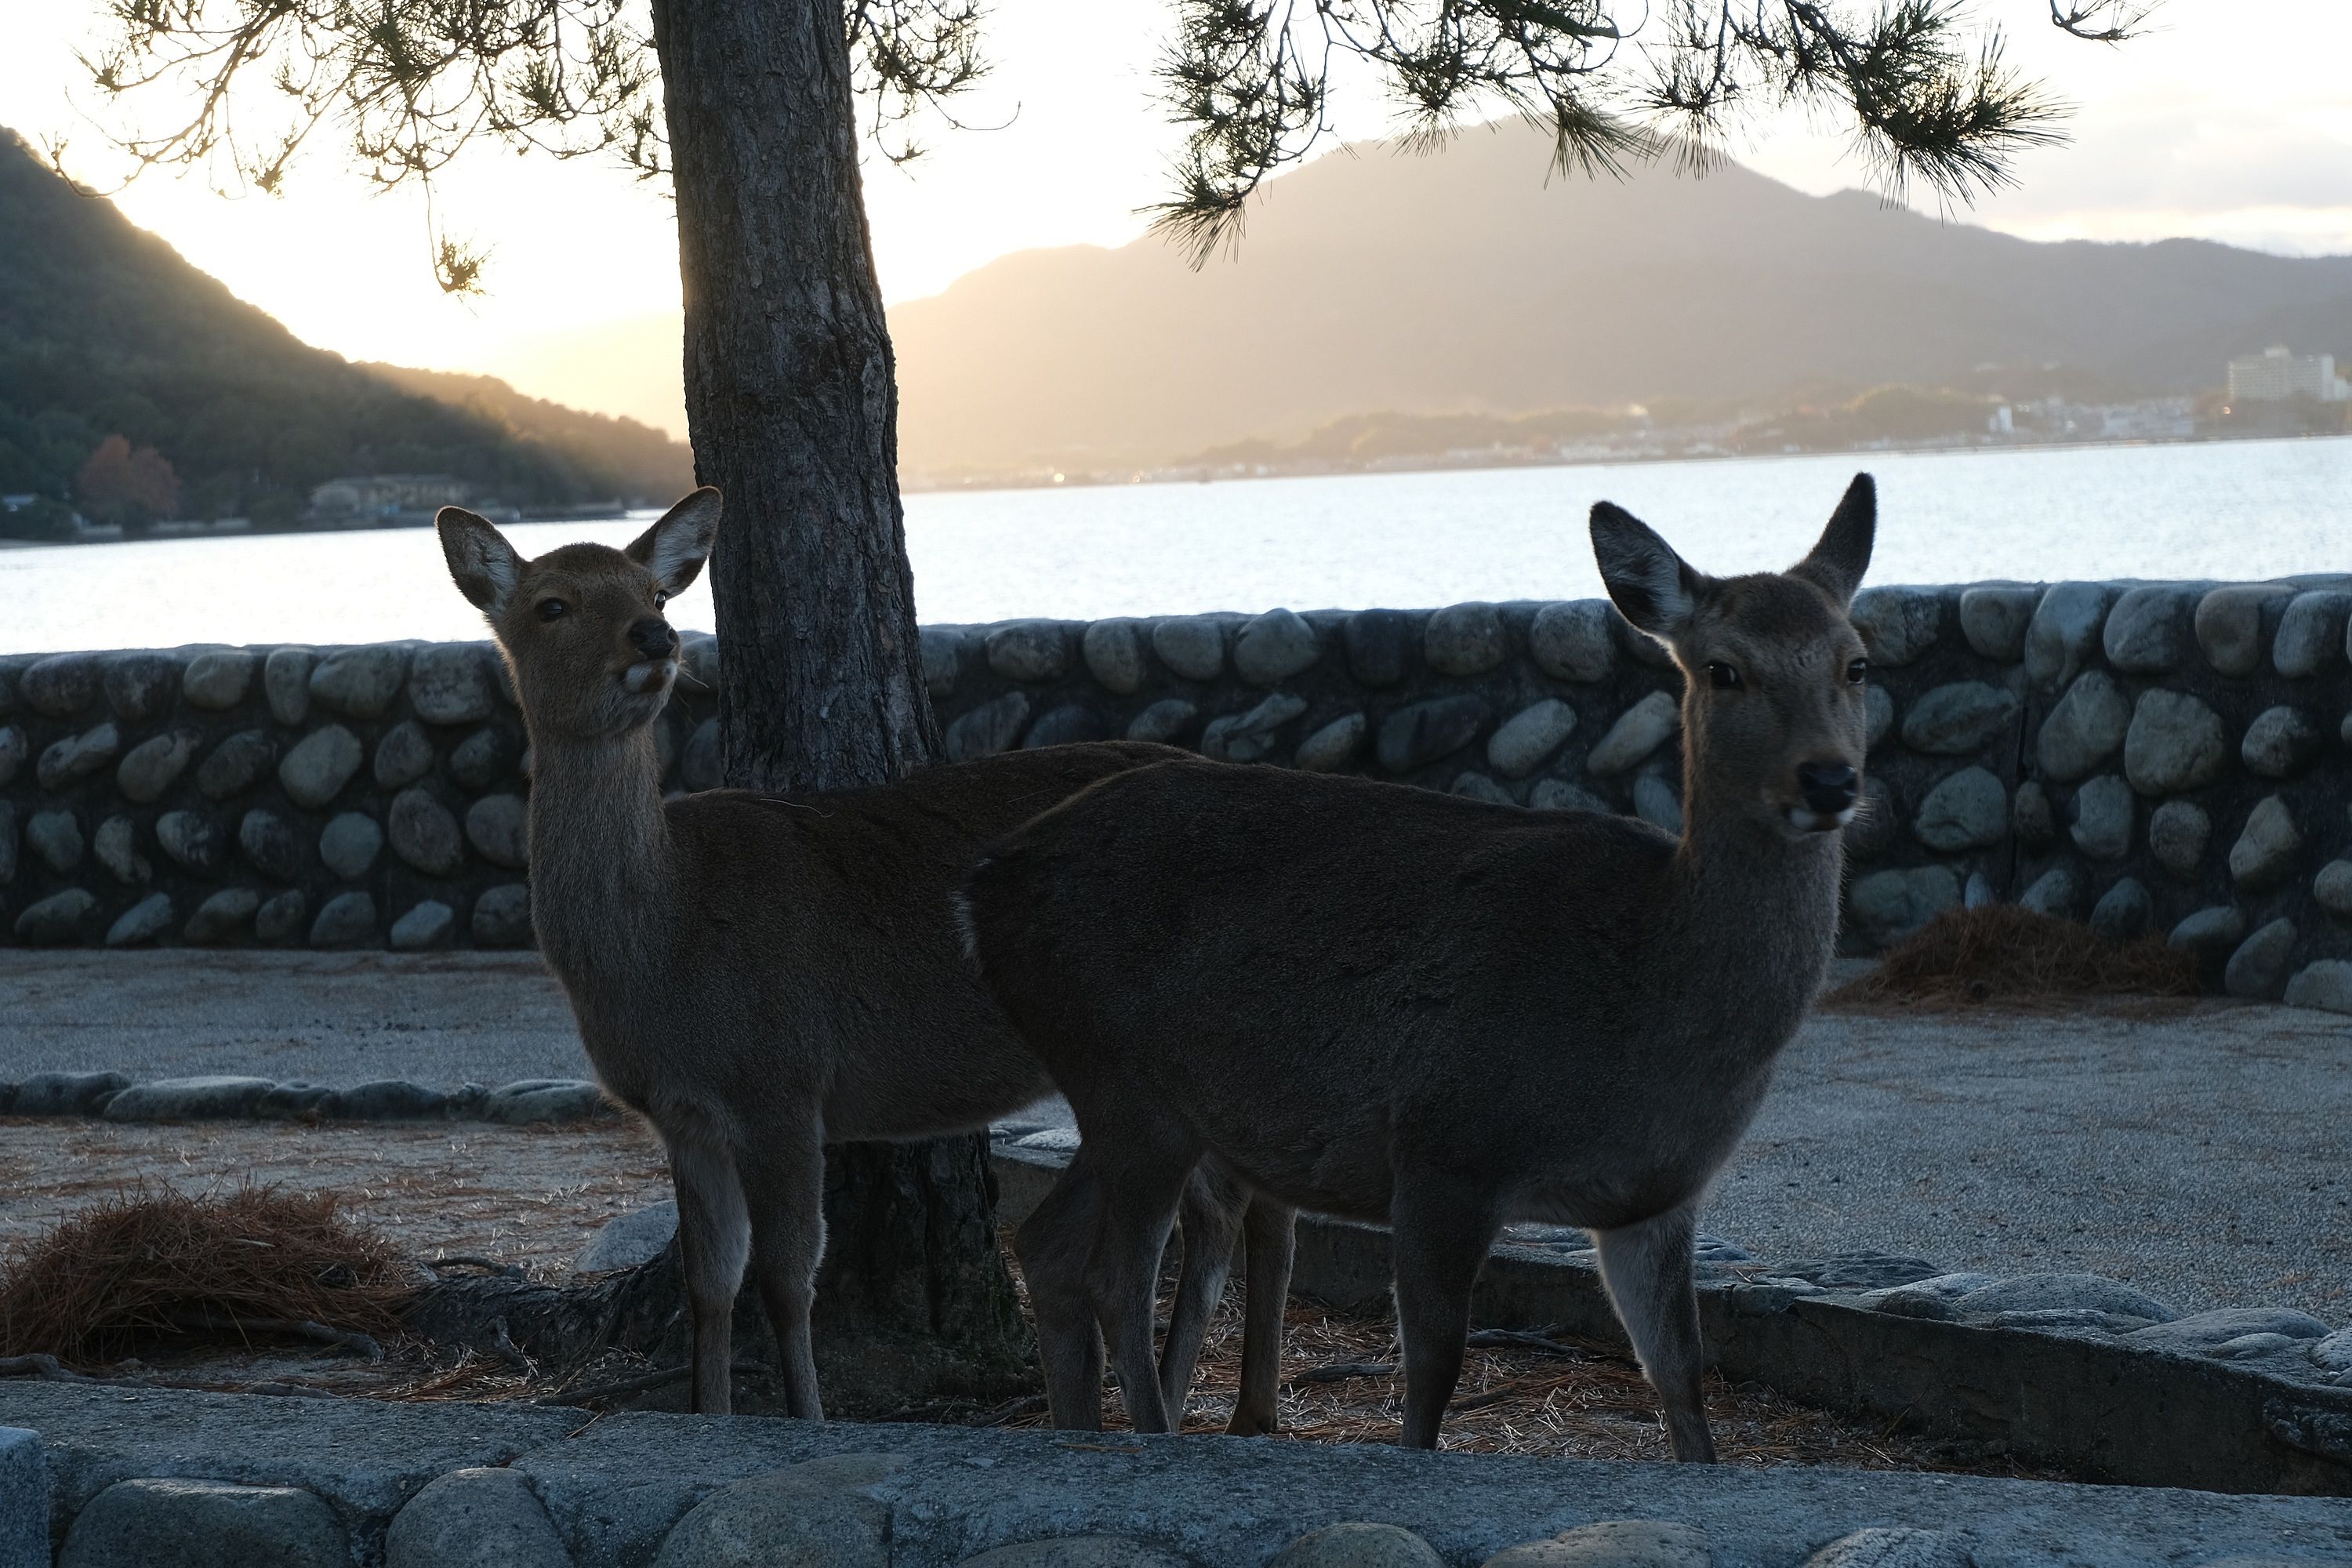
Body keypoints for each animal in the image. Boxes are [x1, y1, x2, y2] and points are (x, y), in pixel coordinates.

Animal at [435, 488, 1294, 1426]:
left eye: (655, 594)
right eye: (552, 604)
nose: (655, 639)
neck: (661, 946)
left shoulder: (783, 1081)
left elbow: (785, 1279)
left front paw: (806, 1418)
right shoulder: (683, 1112)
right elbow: (710, 1283)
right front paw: (708, 1415)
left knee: (1243, 1205)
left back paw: (1226, 1411)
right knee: (1238, 1202)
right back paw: (1208, 1404)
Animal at [960, 474, 1877, 1458]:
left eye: (1857, 663)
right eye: (1723, 668)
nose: (1829, 779)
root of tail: (985, 887)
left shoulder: (1652, 1201)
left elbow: (1682, 1380)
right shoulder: (1445, 1144)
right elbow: (1432, 1373)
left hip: (1137, 1098)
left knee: (1048, 1244)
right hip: (1122, 1076)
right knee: (1115, 1276)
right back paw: (1152, 1432)